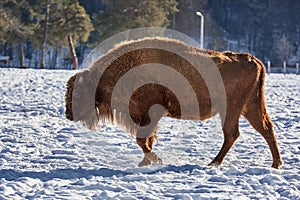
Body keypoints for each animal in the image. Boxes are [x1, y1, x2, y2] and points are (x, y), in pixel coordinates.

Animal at [64, 37, 282, 169]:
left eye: (77, 92)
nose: (68, 114)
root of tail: (253, 60)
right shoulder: (145, 117)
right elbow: (147, 140)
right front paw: (145, 162)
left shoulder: (149, 114)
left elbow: (142, 140)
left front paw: (154, 159)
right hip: (249, 107)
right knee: (265, 129)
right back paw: (275, 164)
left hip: (233, 109)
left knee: (233, 133)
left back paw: (214, 163)